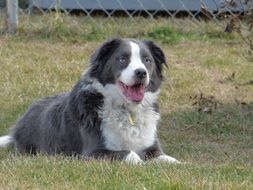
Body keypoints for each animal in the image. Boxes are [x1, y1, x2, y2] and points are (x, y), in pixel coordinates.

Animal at [0, 37, 180, 164]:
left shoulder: (152, 148)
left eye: (147, 60)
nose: (141, 73)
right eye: (122, 59)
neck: (127, 110)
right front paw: (141, 164)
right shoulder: (93, 153)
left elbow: (171, 160)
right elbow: (131, 154)